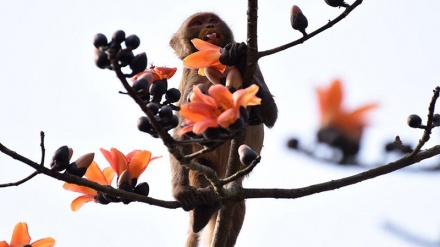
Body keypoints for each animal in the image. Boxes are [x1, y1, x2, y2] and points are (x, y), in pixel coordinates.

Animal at [169, 12, 276, 247]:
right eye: (197, 23)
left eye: (212, 20)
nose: (210, 26)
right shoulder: (190, 74)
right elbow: (179, 133)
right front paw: (181, 190)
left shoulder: (255, 65)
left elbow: (271, 114)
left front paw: (237, 56)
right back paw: (203, 208)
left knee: (237, 203)